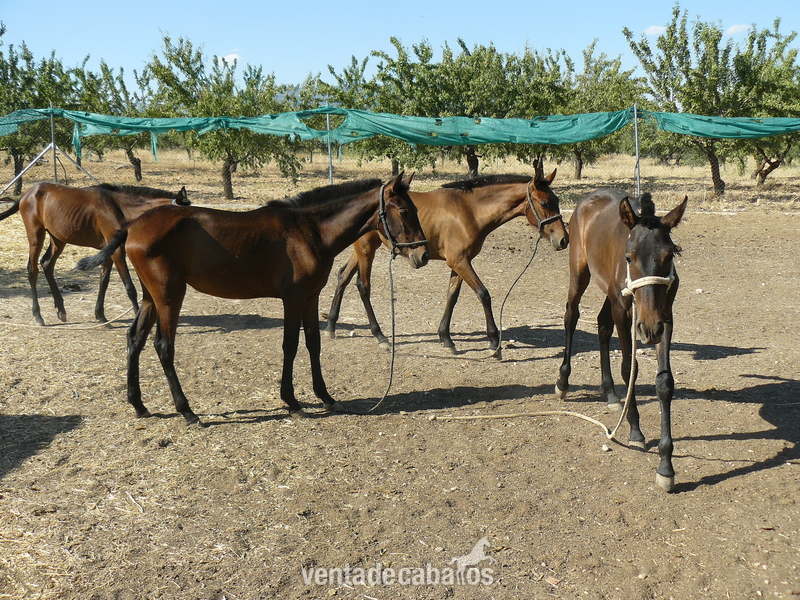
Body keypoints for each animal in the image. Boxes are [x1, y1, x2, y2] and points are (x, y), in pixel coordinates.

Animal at [0, 181, 189, 325]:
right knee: (32, 270)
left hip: (58, 238)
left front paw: (100, 315)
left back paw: (61, 310)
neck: (120, 207)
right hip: (36, 236)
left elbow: (103, 282)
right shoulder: (117, 251)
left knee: (47, 264)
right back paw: (38, 316)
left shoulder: (109, 251)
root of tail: (27, 193)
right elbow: (130, 287)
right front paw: (136, 316)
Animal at [75, 173, 428, 425]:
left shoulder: (311, 297)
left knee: (134, 339)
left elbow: (313, 343)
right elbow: (291, 345)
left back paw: (139, 405)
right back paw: (187, 411)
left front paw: (326, 397)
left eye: (414, 209)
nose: (422, 255)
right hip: (168, 297)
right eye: (404, 210)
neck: (309, 232)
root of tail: (132, 225)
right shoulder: (293, 299)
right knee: (163, 347)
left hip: (151, 298)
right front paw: (292, 402)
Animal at [323, 165, 569, 358]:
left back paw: (331, 326)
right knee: (362, 286)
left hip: (364, 249)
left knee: (343, 276)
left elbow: (452, 296)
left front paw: (446, 338)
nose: (564, 239)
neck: (469, 211)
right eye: (544, 203)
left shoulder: (460, 262)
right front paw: (494, 342)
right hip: (365, 250)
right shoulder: (459, 261)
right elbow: (483, 294)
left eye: (557, 201)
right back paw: (380, 336)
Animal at [554, 188, 687, 492]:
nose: (648, 330)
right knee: (571, 315)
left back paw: (611, 394)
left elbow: (664, 383)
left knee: (602, 325)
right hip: (580, 272)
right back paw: (563, 381)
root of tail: (589, 198)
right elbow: (630, 368)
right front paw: (635, 430)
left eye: (670, 254)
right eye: (629, 257)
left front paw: (666, 466)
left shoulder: (666, 317)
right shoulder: (623, 311)